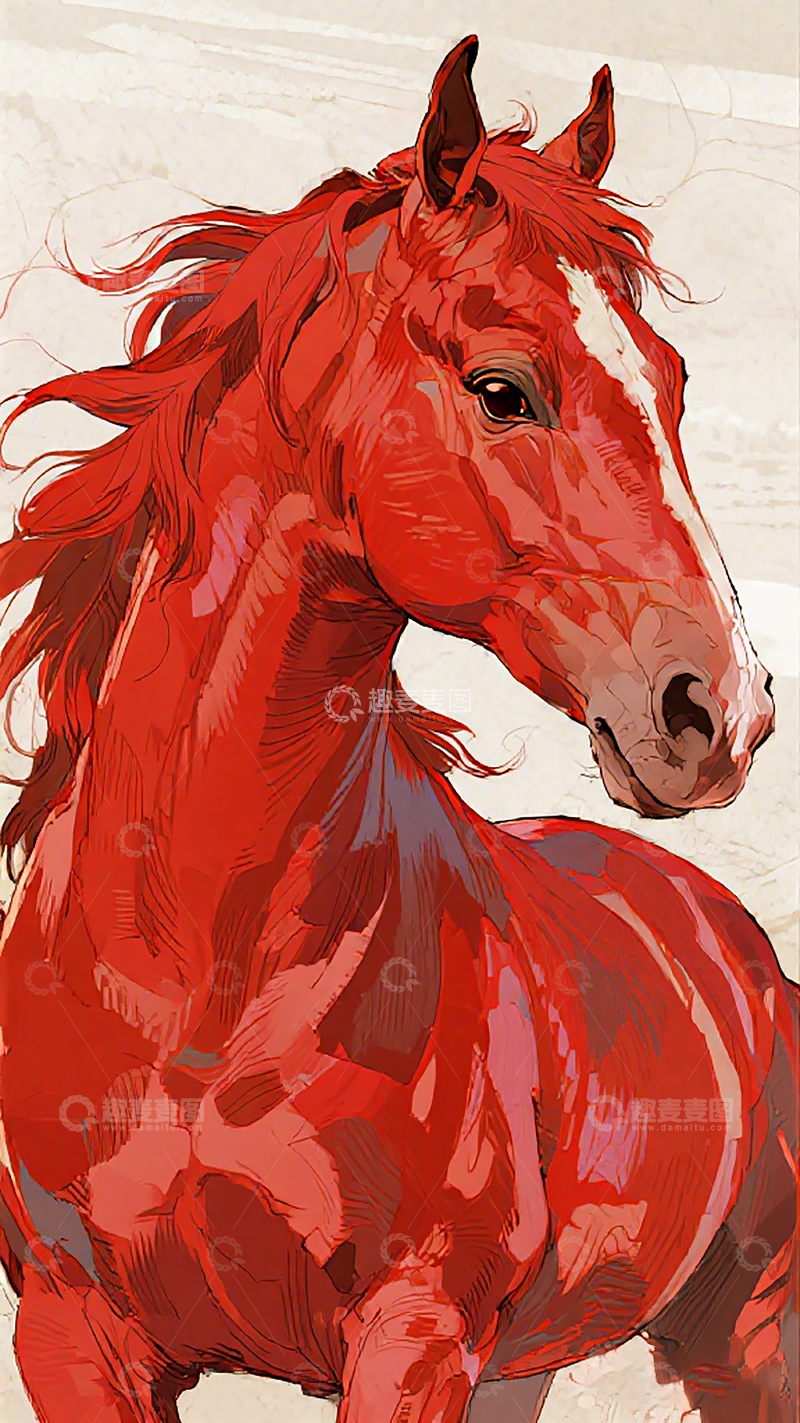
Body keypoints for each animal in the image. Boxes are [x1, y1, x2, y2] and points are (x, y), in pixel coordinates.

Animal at [0, 34, 795, 1423]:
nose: (721, 708)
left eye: (674, 382)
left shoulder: (413, 1335)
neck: (195, 978)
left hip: (748, 1339)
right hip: (521, 1368)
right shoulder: (70, 1332)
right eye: (502, 388)